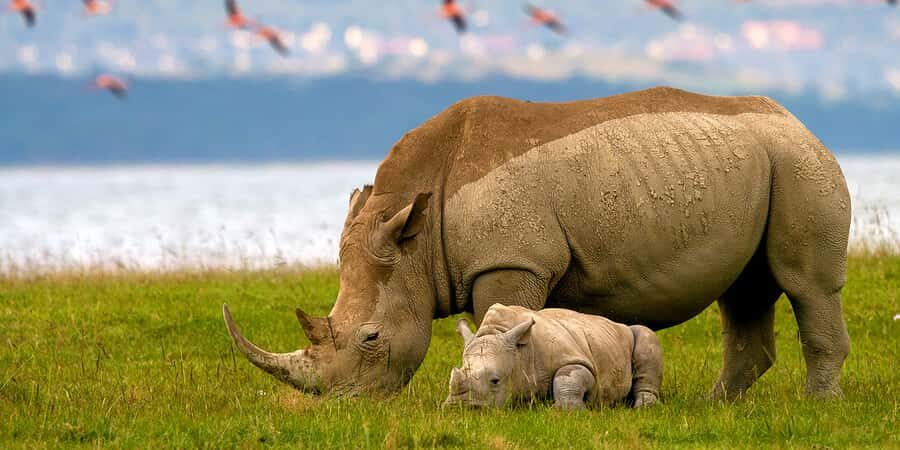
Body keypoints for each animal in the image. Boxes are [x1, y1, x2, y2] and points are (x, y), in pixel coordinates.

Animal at [443, 304, 663, 409]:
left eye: (495, 381)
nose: (458, 407)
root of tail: (616, 323)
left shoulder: (576, 360)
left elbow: (568, 376)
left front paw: (563, 411)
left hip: (628, 334)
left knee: (645, 334)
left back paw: (644, 407)